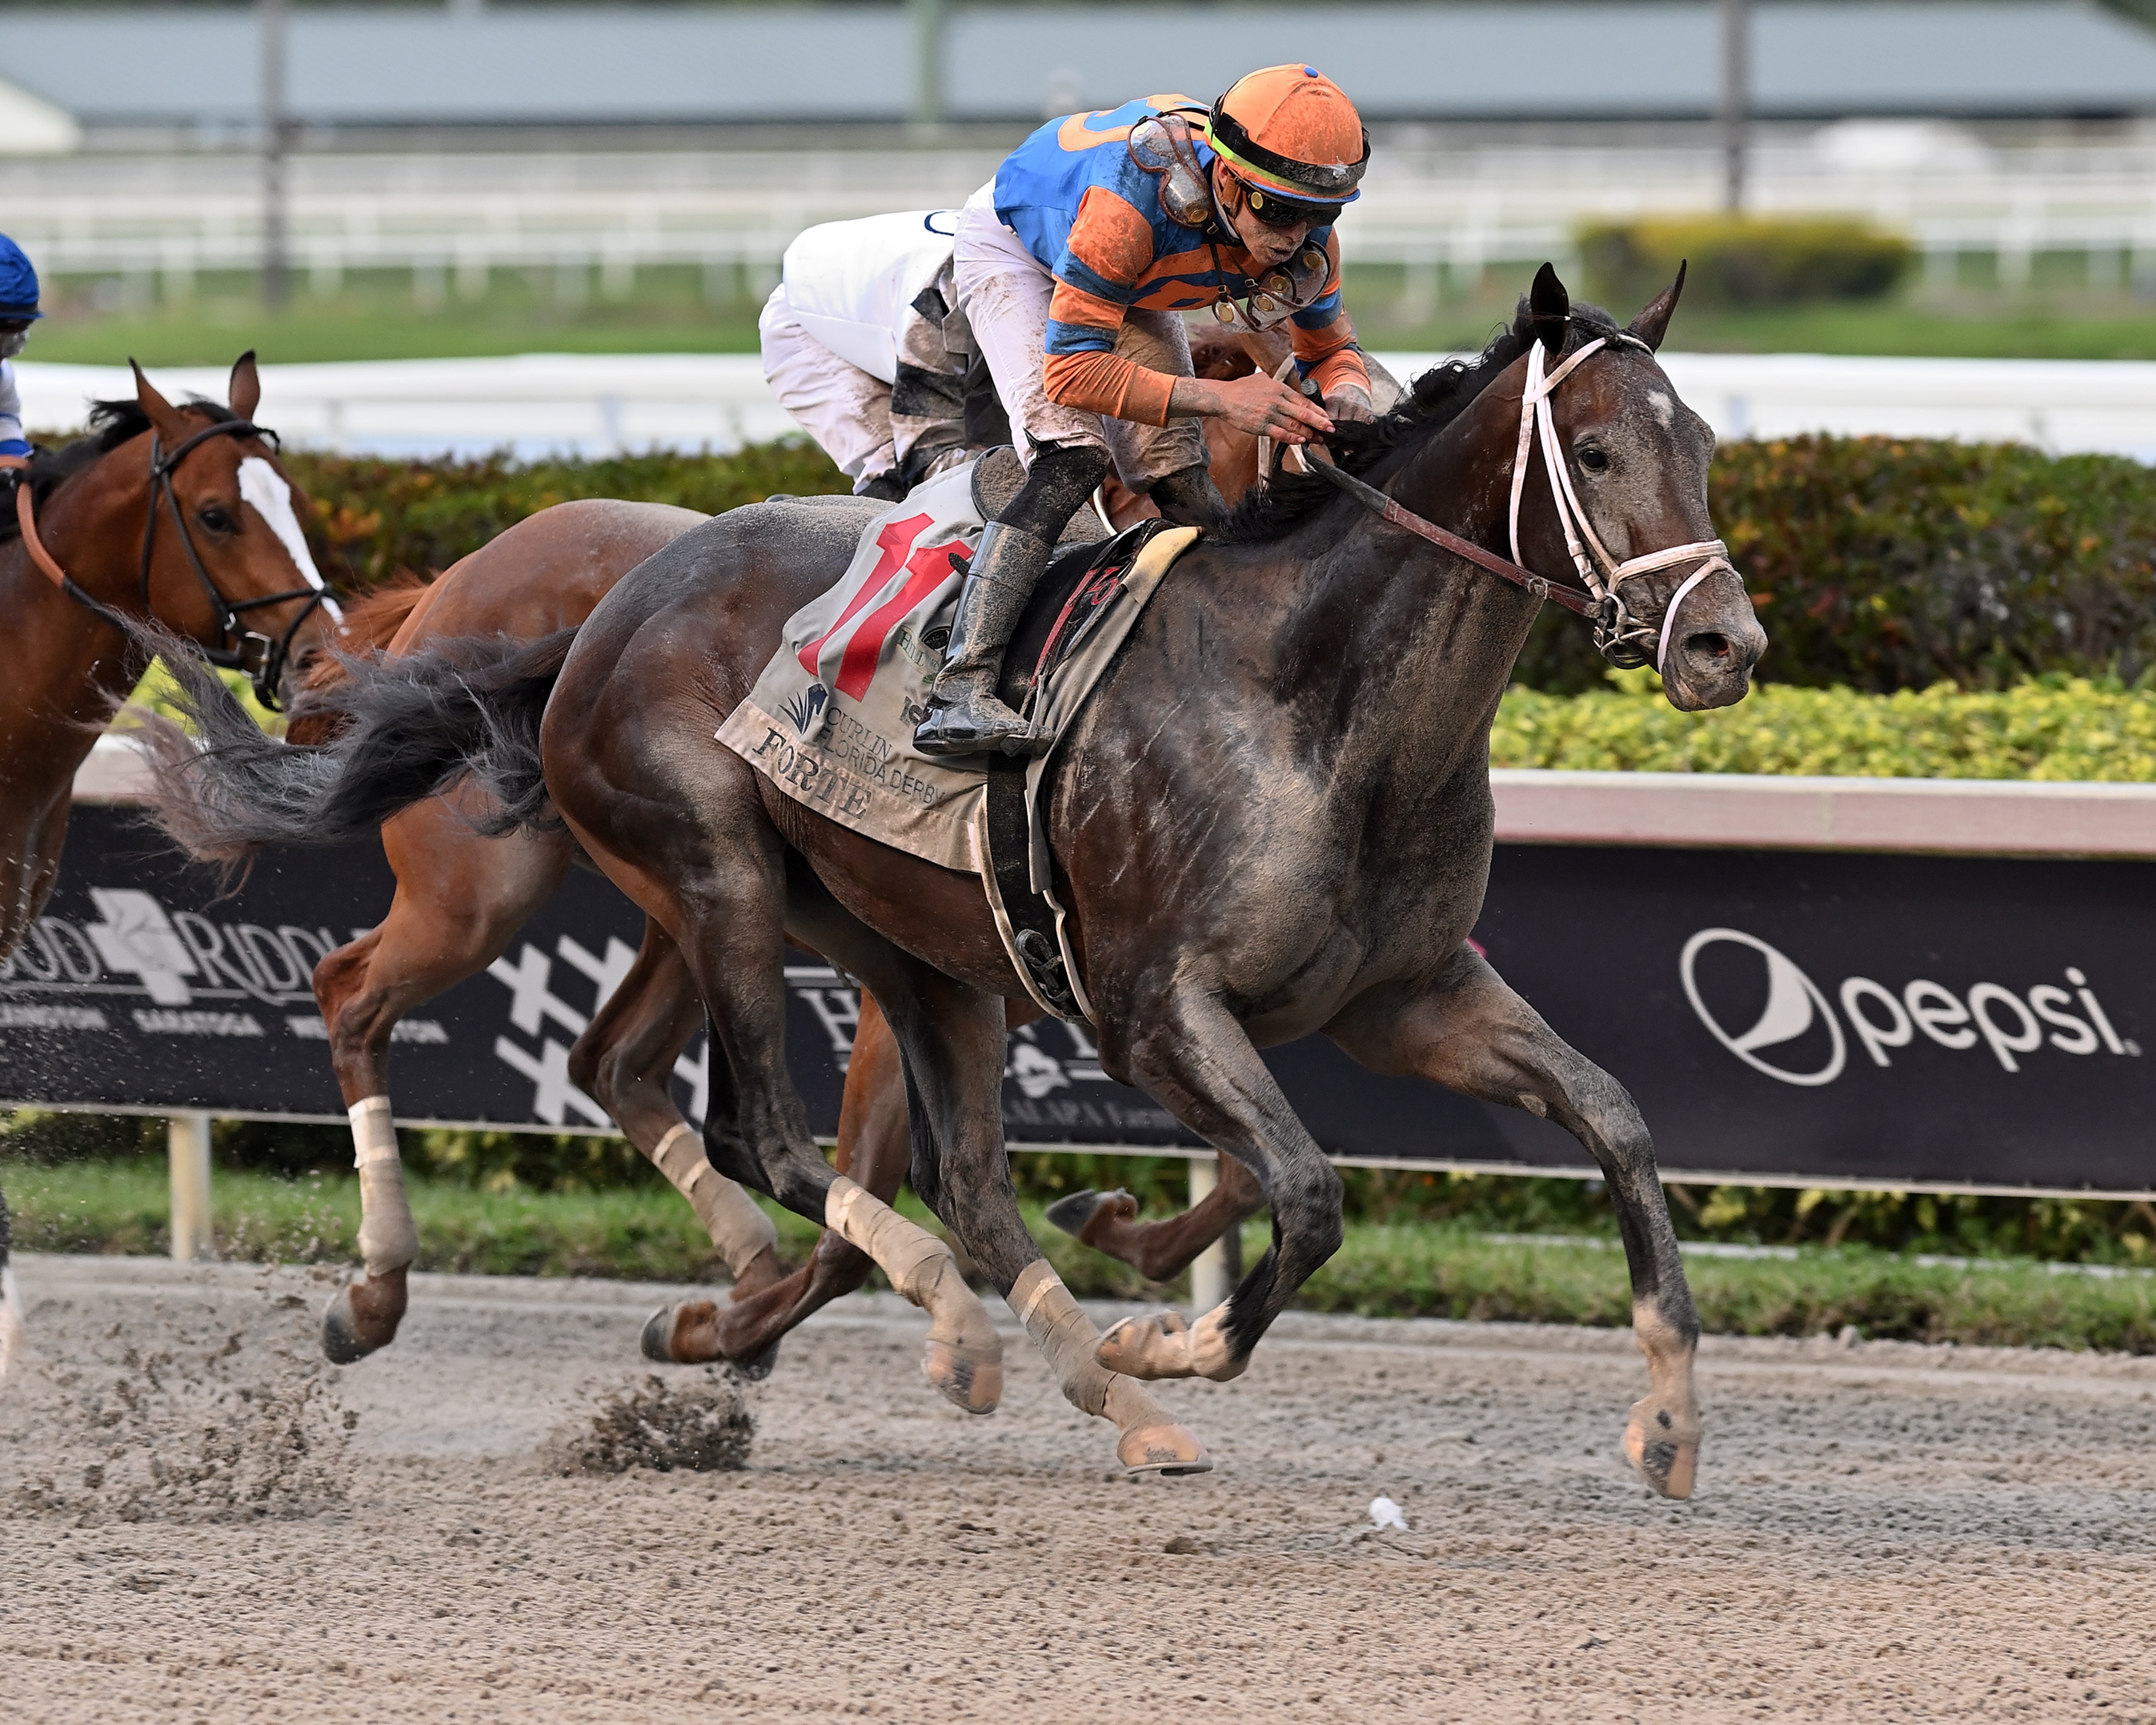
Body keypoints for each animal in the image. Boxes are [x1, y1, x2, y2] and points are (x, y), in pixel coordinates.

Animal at [147, 266, 1768, 1483]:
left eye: (1701, 444)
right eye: (1598, 453)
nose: (1721, 643)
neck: (1308, 695)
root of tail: (594, 610)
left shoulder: (1403, 994)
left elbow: (1614, 1119)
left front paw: (1669, 1413)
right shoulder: (1151, 1007)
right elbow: (1304, 1192)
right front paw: (1165, 1331)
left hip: (902, 943)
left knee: (926, 1170)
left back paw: (1088, 1388)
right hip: (684, 873)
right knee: (729, 1120)